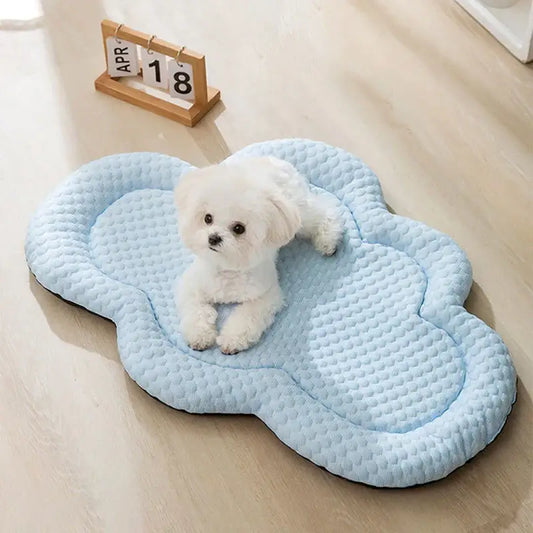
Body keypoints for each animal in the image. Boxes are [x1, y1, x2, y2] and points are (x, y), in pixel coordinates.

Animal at [174, 157, 340, 354]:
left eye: (239, 228)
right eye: (208, 218)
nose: (213, 238)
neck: (227, 268)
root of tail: (277, 161)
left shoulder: (266, 295)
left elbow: (247, 317)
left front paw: (232, 339)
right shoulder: (192, 286)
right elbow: (197, 311)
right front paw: (200, 335)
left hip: (301, 216)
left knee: (326, 210)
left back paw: (328, 240)